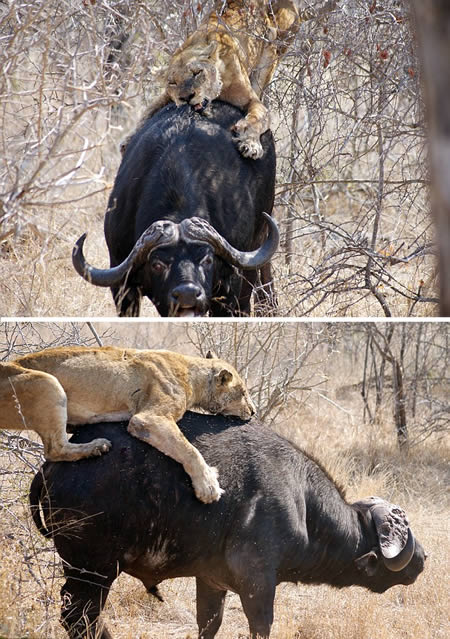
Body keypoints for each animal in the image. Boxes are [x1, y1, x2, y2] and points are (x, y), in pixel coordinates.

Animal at [29, 412, 426, 636]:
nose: (422, 557)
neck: (301, 502)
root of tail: (51, 464)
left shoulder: (210, 582)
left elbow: (209, 624)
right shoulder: (258, 585)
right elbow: (260, 627)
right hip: (92, 570)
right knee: (80, 619)